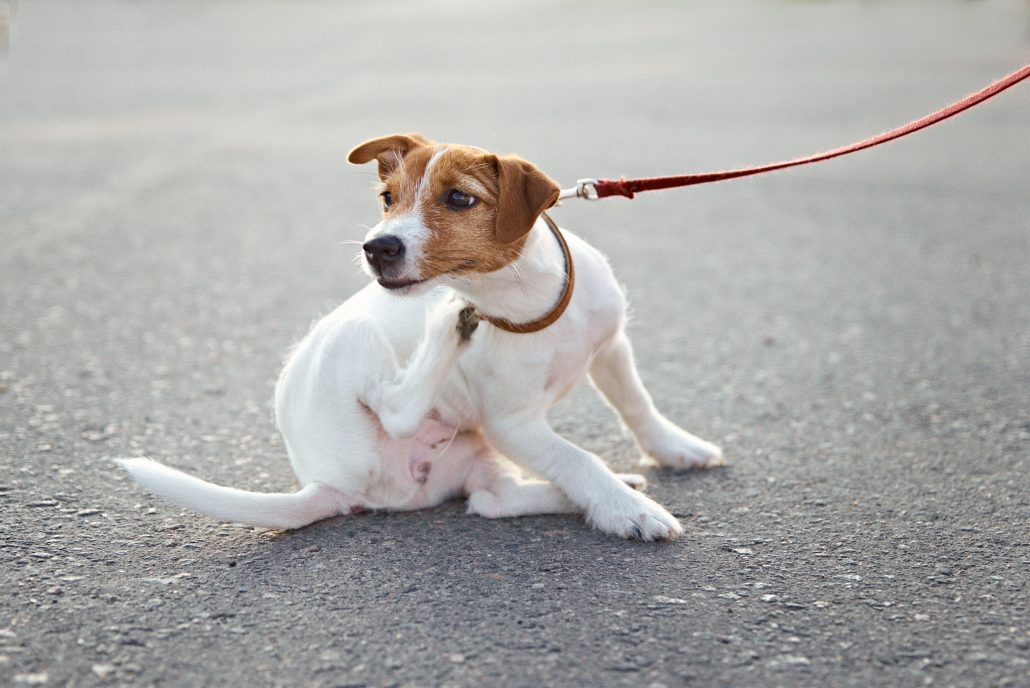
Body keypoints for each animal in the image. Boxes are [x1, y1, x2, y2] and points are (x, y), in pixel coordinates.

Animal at [116, 133, 721, 539]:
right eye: (387, 198)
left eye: (459, 199)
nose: (377, 248)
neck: (526, 306)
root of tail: (324, 482)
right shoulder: (513, 424)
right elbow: (578, 459)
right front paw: (626, 511)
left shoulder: (611, 348)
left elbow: (637, 406)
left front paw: (675, 450)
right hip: (352, 336)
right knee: (399, 408)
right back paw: (447, 325)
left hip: (474, 456)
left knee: (491, 501)